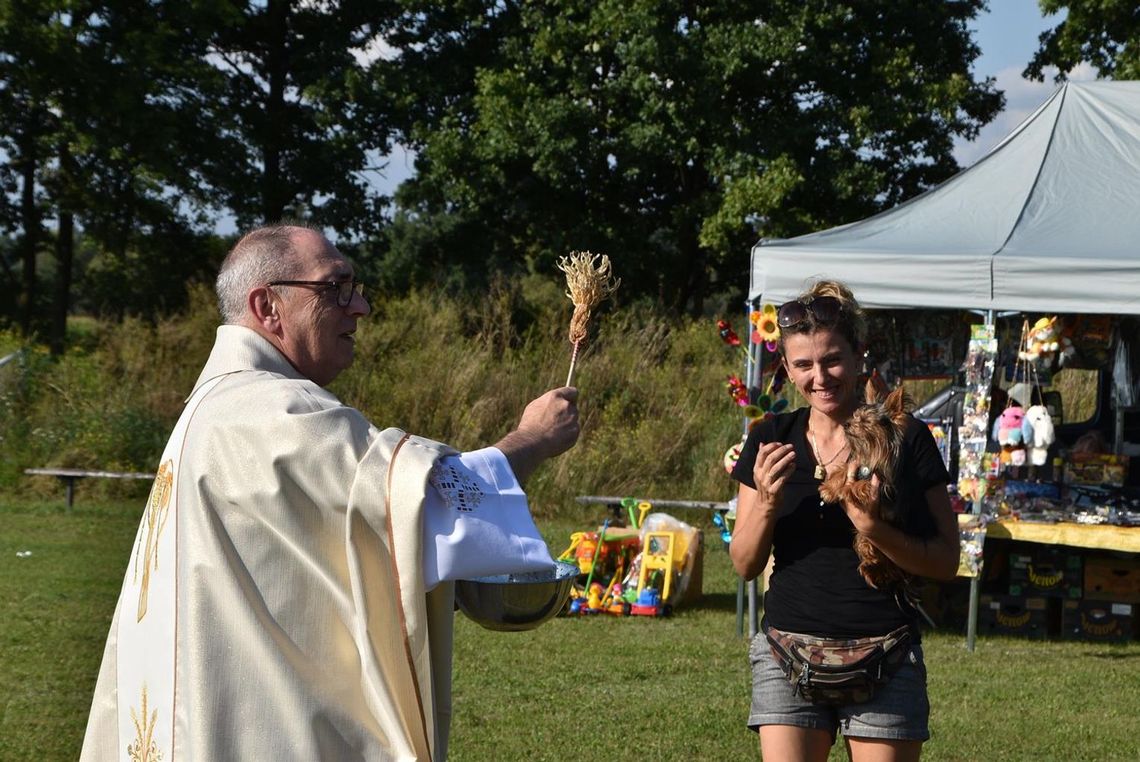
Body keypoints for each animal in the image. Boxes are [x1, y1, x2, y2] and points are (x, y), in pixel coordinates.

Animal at [825, 387, 912, 588]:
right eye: (855, 416)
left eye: (865, 421)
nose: (846, 424)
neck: (870, 452)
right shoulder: (857, 464)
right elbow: (843, 469)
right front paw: (829, 488)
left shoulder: (883, 486)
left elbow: (862, 484)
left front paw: (846, 490)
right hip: (862, 538)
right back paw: (869, 567)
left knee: (889, 567)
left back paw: (875, 571)